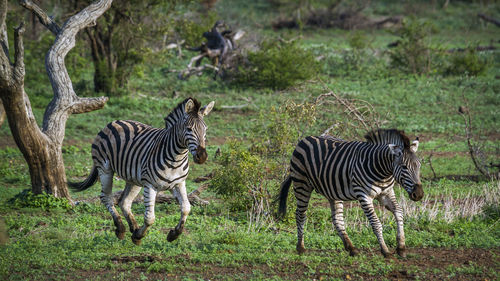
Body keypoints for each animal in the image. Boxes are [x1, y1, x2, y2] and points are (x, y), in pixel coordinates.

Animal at [70, 97, 213, 244]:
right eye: (189, 129)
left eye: (206, 129)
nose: (202, 156)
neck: (176, 159)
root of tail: (114, 122)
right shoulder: (150, 185)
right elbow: (150, 218)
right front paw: (139, 236)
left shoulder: (179, 183)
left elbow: (186, 208)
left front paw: (174, 234)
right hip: (105, 169)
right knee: (106, 197)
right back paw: (121, 228)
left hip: (134, 178)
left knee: (124, 202)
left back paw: (134, 227)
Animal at [278, 129, 422, 256]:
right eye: (404, 167)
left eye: (419, 165)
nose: (419, 194)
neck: (382, 171)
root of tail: (306, 138)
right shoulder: (364, 196)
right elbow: (376, 223)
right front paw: (385, 250)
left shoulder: (386, 193)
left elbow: (399, 213)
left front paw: (401, 247)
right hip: (302, 184)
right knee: (300, 214)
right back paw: (301, 248)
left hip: (332, 190)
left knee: (337, 218)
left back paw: (351, 248)